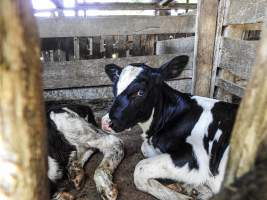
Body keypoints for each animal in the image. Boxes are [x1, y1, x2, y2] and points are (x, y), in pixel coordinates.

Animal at [102, 55, 239, 200]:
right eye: (114, 89)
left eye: (140, 92)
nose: (106, 122)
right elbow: (144, 149)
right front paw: (194, 187)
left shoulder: (196, 158)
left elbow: (140, 169)